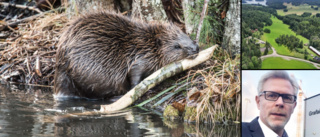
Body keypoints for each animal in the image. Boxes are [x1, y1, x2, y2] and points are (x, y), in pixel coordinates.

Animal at [54, 11, 199, 99]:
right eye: (177, 46)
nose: (196, 48)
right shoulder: (140, 58)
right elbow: (134, 73)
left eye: (186, 35)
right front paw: (141, 88)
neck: (148, 44)